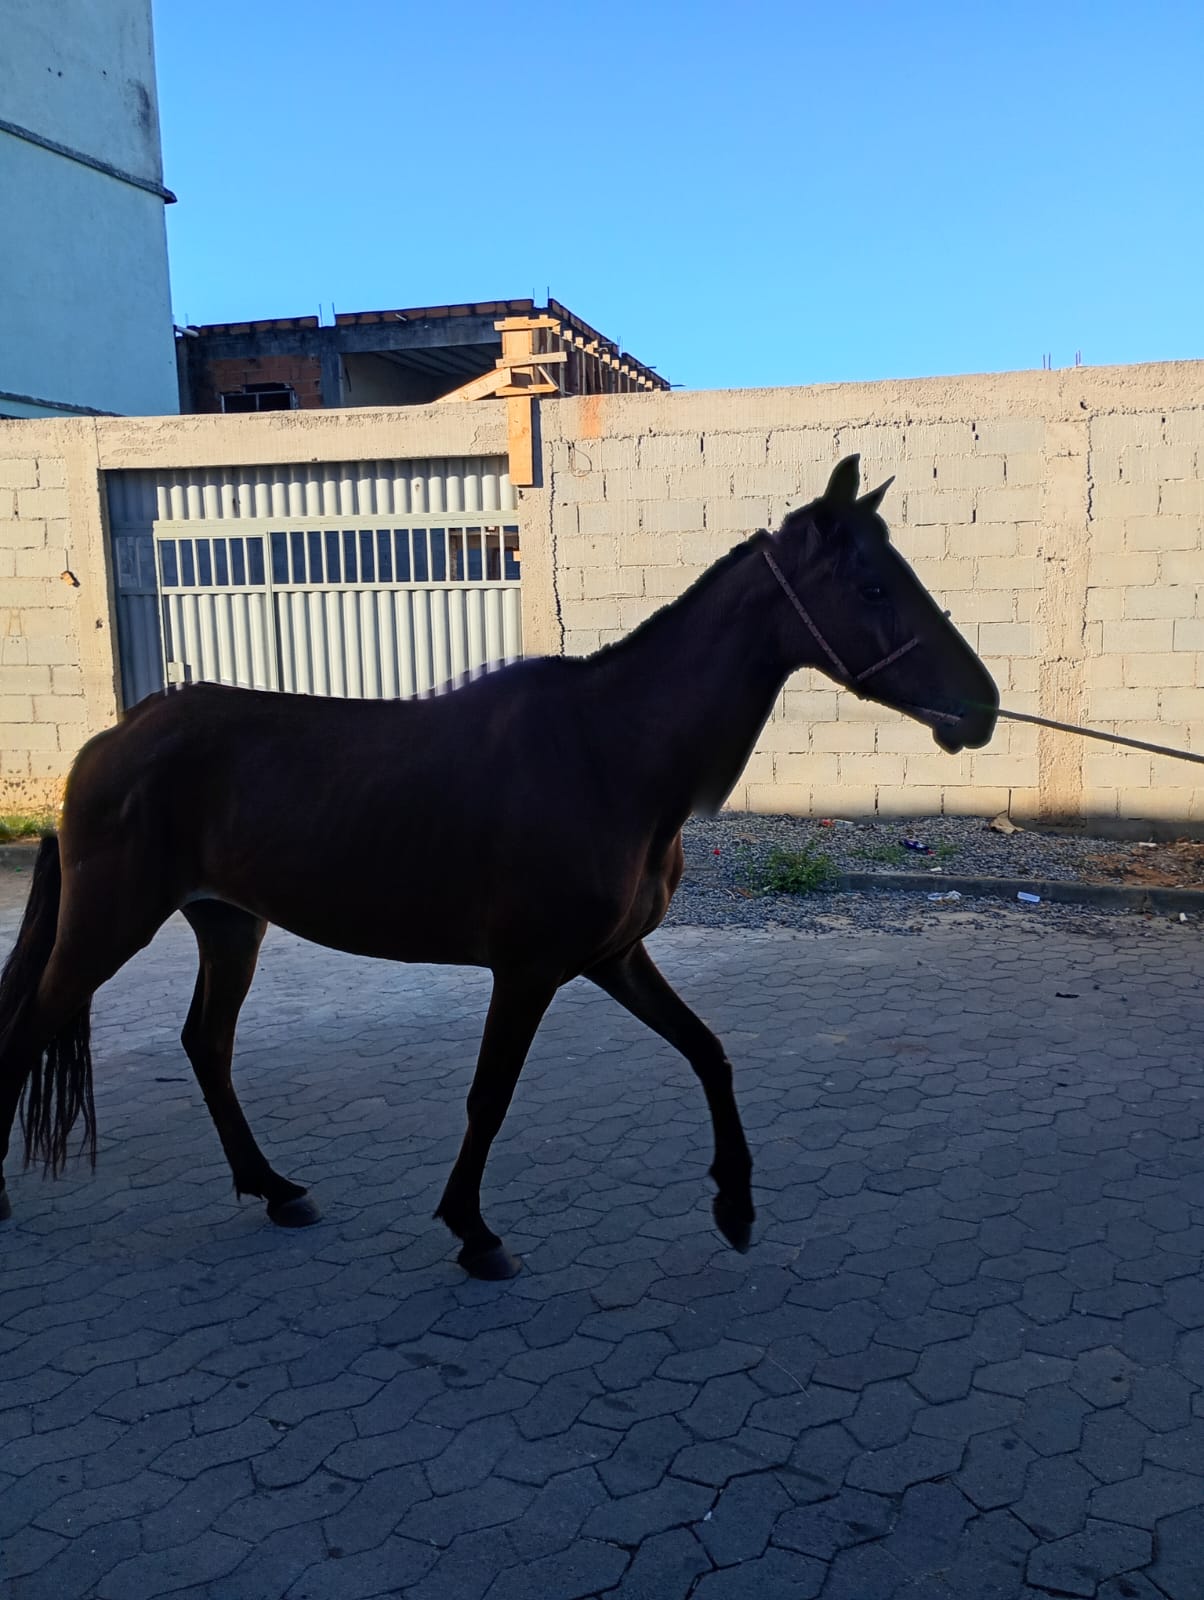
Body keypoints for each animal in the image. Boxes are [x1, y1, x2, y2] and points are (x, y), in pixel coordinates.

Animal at [0, 456, 998, 1279]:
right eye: (873, 586)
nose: (982, 708)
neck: (610, 752)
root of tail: (111, 741)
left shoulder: (613, 958)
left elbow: (708, 1052)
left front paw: (736, 1206)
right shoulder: (528, 971)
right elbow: (491, 1096)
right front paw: (473, 1232)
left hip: (228, 922)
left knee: (205, 1044)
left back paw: (276, 1188)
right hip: (111, 922)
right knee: (31, 1029)